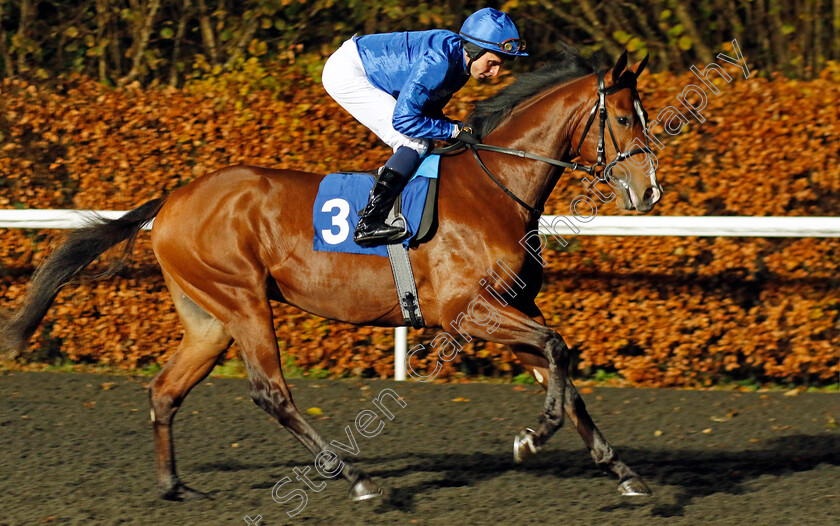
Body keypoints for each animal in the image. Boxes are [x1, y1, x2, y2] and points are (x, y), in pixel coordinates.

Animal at [3, 48, 668, 504]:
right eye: (624, 119)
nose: (650, 192)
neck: (494, 188)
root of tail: (173, 198)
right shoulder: (468, 314)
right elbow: (557, 351)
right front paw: (534, 436)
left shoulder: (512, 308)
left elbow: (565, 374)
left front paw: (623, 471)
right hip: (243, 300)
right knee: (271, 392)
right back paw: (354, 478)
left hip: (209, 319)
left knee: (166, 390)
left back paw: (174, 486)